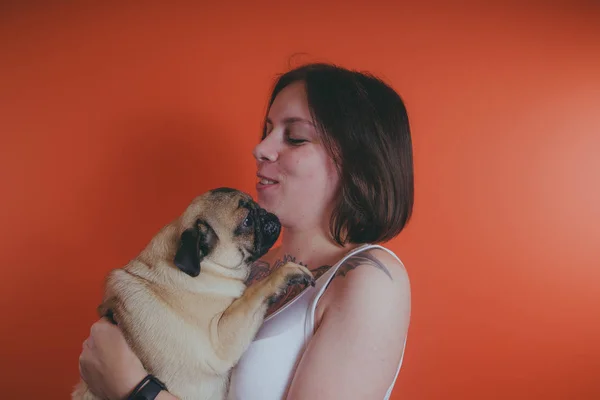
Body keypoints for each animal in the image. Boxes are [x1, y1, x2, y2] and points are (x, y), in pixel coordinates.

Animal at [73, 188, 316, 400]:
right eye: (247, 221)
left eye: (257, 205)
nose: (267, 214)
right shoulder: (218, 343)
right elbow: (252, 292)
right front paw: (285, 273)